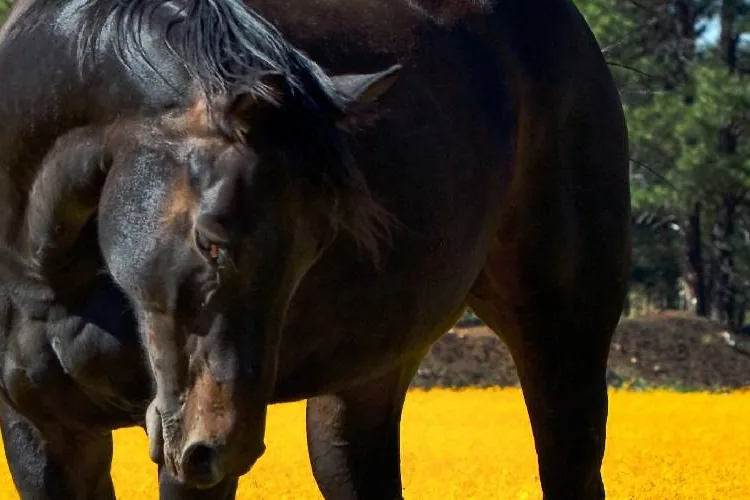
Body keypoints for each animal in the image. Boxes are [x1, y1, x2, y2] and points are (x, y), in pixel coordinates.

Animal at [0, 0, 631, 499]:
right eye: (212, 237)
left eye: (317, 246)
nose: (225, 447)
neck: (49, 281)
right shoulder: (42, 436)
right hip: (363, 387)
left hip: (562, 341)